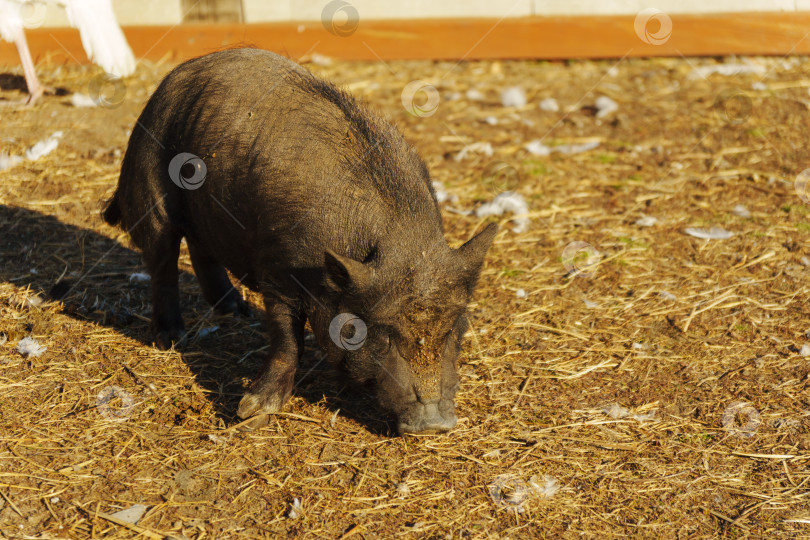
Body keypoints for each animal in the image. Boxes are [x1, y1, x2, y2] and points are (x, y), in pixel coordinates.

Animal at [103, 48, 496, 435]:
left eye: (455, 327)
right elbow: (287, 339)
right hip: (150, 182)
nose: (435, 424)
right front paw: (250, 415)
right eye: (383, 334)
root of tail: (176, 75)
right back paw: (172, 337)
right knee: (162, 257)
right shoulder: (278, 269)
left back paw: (235, 310)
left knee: (202, 248)